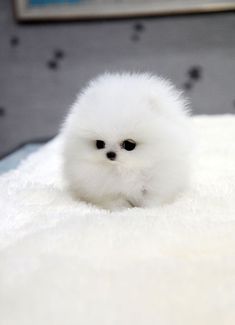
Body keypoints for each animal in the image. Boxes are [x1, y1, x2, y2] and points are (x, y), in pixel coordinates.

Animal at [62, 72, 193, 210]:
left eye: (129, 145)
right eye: (100, 143)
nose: (110, 154)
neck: (126, 168)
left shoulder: (157, 182)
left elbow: (151, 200)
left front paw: (148, 209)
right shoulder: (105, 189)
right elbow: (116, 201)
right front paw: (122, 209)